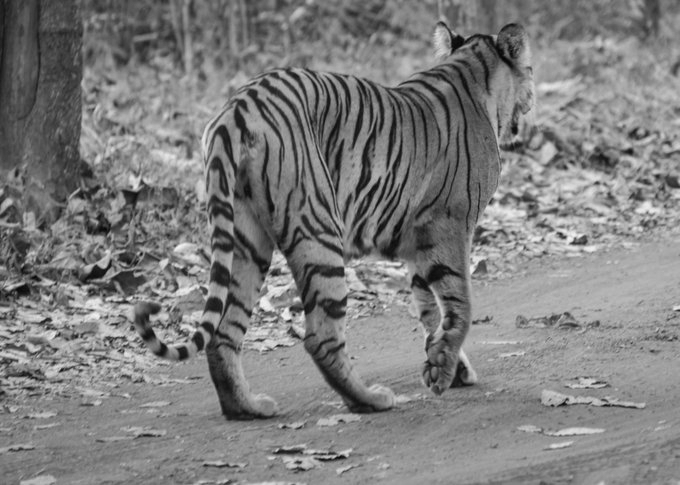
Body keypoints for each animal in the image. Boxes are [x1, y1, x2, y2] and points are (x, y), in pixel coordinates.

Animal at [133, 21, 535, 419]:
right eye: (529, 68)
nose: (533, 96)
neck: (473, 72)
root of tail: (239, 106)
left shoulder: (419, 243)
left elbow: (430, 309)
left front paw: (445, 366)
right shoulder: (449, 227)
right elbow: (459, 303)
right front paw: (443, 371)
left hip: (245, 240)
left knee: (223, 332)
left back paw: (247, 407)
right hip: (319, 230)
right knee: (320, 336)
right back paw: (369, 399)